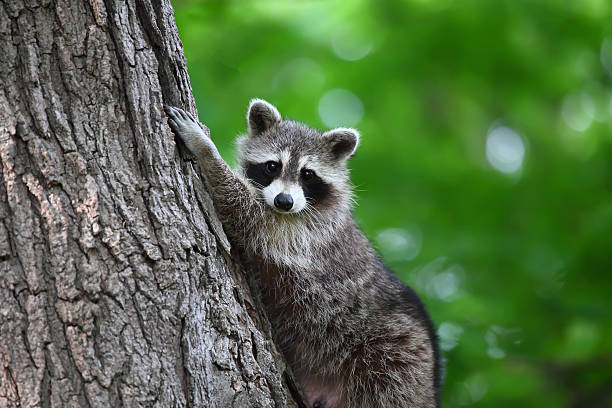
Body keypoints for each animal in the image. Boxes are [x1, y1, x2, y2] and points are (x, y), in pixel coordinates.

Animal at [163, 99, 440, 408]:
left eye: (308, 174)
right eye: (272, 166)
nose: (284, 201)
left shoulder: (304, 232)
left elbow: (243, 209)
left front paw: (205, 149)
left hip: (394, 362)